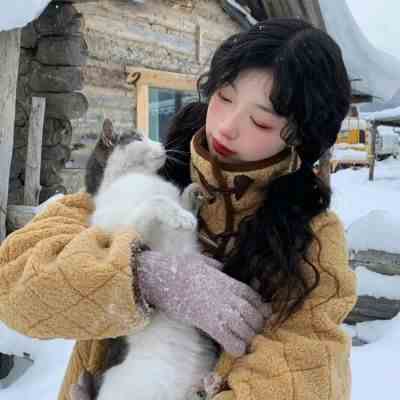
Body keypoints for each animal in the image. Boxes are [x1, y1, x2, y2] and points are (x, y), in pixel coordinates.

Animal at [86, 120, 219, 400]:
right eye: (138, 137)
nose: (161, 144)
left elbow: (179, 200)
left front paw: (195, 192)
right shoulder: (131, 232)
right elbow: (156, 202)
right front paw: (181, 216)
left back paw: (210, 384)